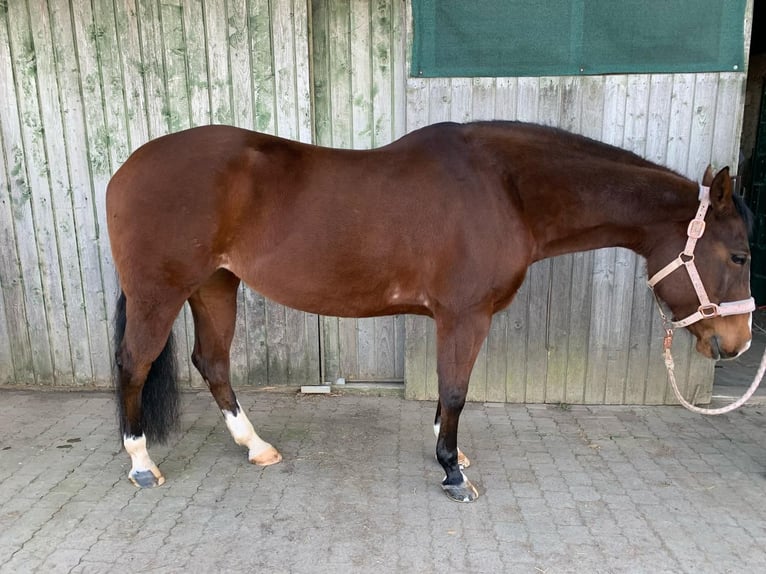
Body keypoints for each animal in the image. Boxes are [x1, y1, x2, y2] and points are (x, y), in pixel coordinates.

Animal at [106, 121, 756, 504]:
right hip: (162, 291)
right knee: (134, 363)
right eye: (741, 254)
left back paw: (256, 447)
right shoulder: (466, 314)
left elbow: (447, 392)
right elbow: (455, 391)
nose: (738, 343)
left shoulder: (452, 317)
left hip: (215, 285)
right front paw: (453, 472)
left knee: (212, 363)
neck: (505, 189)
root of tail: (127, 167)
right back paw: (139, 463)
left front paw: (451, 451)